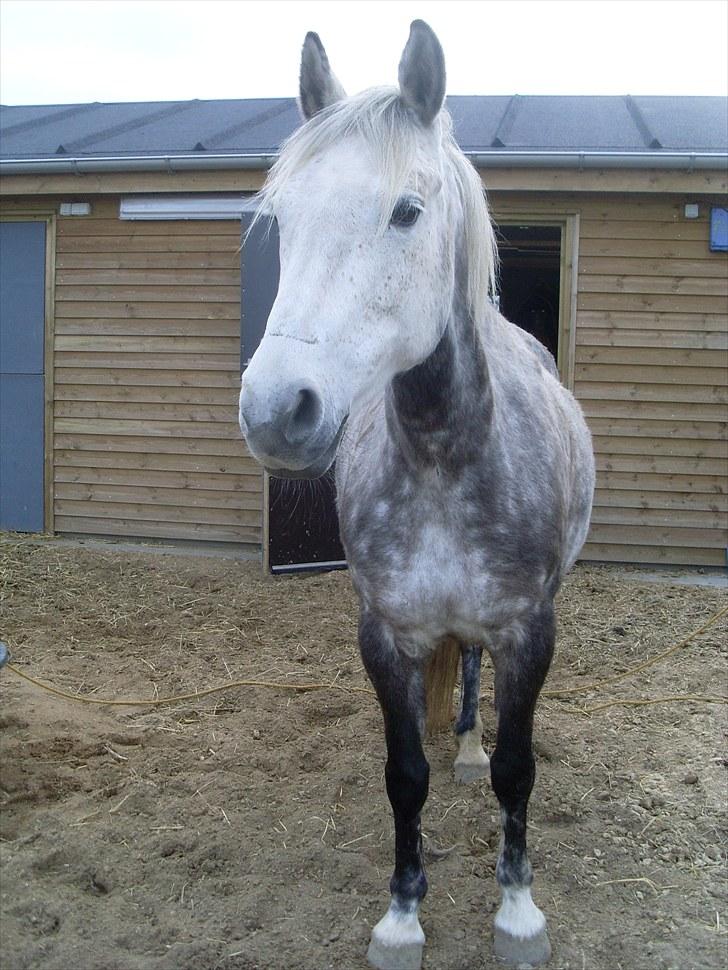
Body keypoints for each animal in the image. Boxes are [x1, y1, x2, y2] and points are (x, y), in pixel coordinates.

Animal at [239, 18, 592, 964]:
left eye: (406, 210)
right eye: (282, 219)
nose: (276, 410)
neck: (442, 459)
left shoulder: (529, 631)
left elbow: (517, 770)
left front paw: (519, 912)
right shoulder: (385, 636)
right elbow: (404, 775)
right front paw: (401, 916)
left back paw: (470, 750)